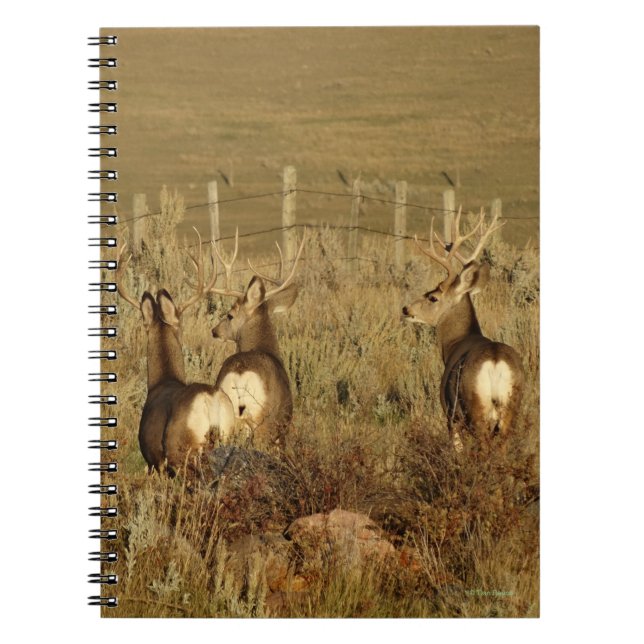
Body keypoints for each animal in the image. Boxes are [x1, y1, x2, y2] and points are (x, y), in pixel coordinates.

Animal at [401, 208, 524, 452]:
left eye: (432, 297)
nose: (406, 308)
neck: (455, 343)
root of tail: (496, 361)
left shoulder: (449, 413)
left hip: (475, 407)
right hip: (511, 408)